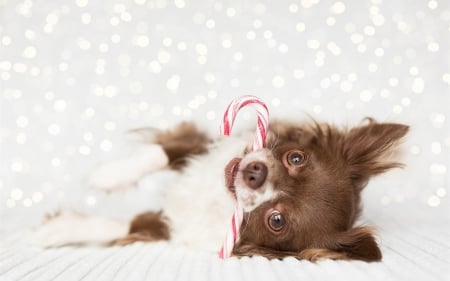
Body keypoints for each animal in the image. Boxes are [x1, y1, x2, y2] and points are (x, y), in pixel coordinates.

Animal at [33, 117, 410, 262]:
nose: (255, 172)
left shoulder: (173, 229)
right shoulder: (210, 146)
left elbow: (130, 224)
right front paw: (108, 175)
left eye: (277, 221)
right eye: (295, 158)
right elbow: (162, 151)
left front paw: (59, 229)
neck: (219, 200)